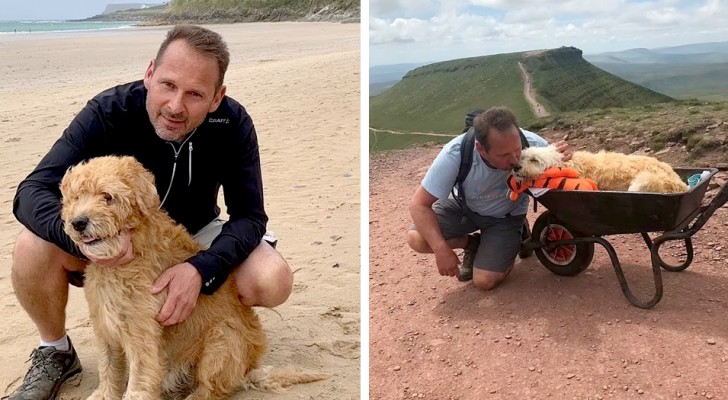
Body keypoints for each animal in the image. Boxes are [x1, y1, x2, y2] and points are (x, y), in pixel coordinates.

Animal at [59, 156, 328, 400]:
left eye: (107, 196)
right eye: (76, 198)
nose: (78, 222)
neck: (129, 252)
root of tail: (249, 370)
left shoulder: (141, 335)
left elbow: (138, 382)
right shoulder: (106, 326)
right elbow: (109, 369)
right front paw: (104, 394)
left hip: (220, 340)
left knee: (212, 390)